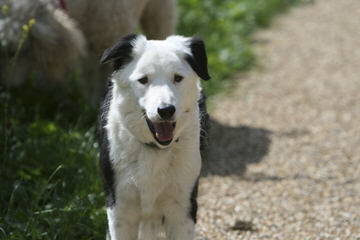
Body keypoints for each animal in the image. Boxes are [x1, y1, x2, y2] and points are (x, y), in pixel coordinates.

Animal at [97, 34, 211, 240]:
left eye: (178, 78)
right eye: (143, 80)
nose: (166, 110)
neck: (155, 149)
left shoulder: (183, 208)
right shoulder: (119, 208)